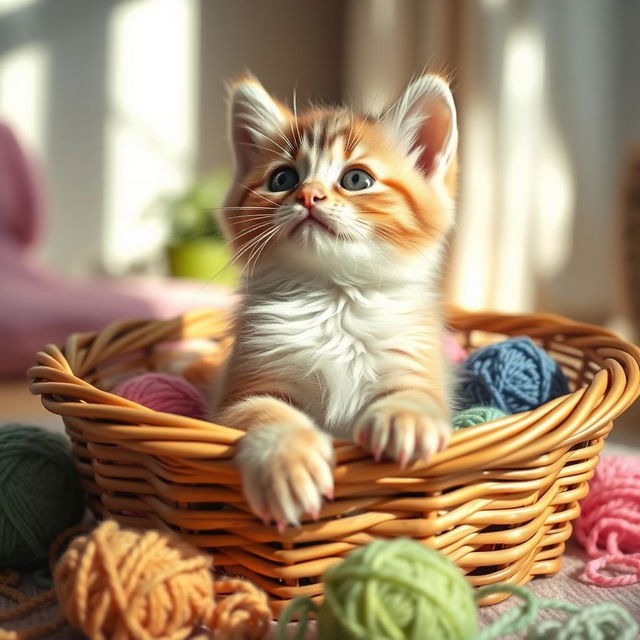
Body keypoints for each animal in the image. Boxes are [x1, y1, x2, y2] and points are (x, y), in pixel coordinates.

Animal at [212, 74, 458, 528]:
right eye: (282, 179)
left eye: (356, 179)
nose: (308, 195)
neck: (333, 298)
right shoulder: (240, 392)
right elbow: (267, 412)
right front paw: (287, 462)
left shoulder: (417, 364)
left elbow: (417, 395)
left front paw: (405, 418)